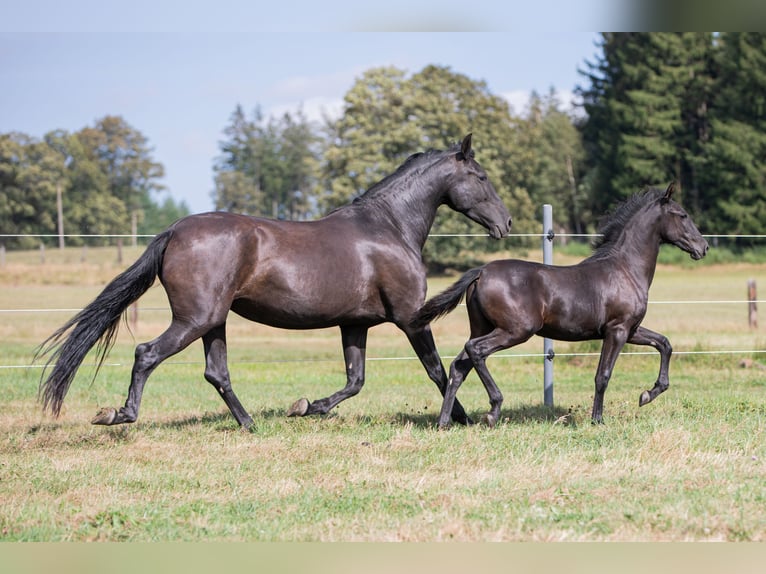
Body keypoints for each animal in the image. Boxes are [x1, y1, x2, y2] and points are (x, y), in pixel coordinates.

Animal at [39, 135, 512, 430]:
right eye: (482, 177)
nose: (505, 223)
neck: (388, 227)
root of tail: (174, 231)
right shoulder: (412, 318)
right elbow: (436, 369)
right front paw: (462, 417)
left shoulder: (354, 324)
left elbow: (355, 379)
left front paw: (306, 407)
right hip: (195, 320)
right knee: (147, 354)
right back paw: (119, 415)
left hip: (213, 323)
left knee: (216, 373)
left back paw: (249, 424)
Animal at [416, 184, 712, 428]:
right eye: (682, 215)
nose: (704, 247)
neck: (625, 269)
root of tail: (481, 272)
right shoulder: (617, 330)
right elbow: (603, 375)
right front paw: (597, 420)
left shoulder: (632, 330)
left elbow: (665, 344)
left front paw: (647, 394)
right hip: (515, 331)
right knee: (475, 351)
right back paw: (493, 410)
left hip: (483, 327)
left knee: (458, 366)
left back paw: (444, 422)